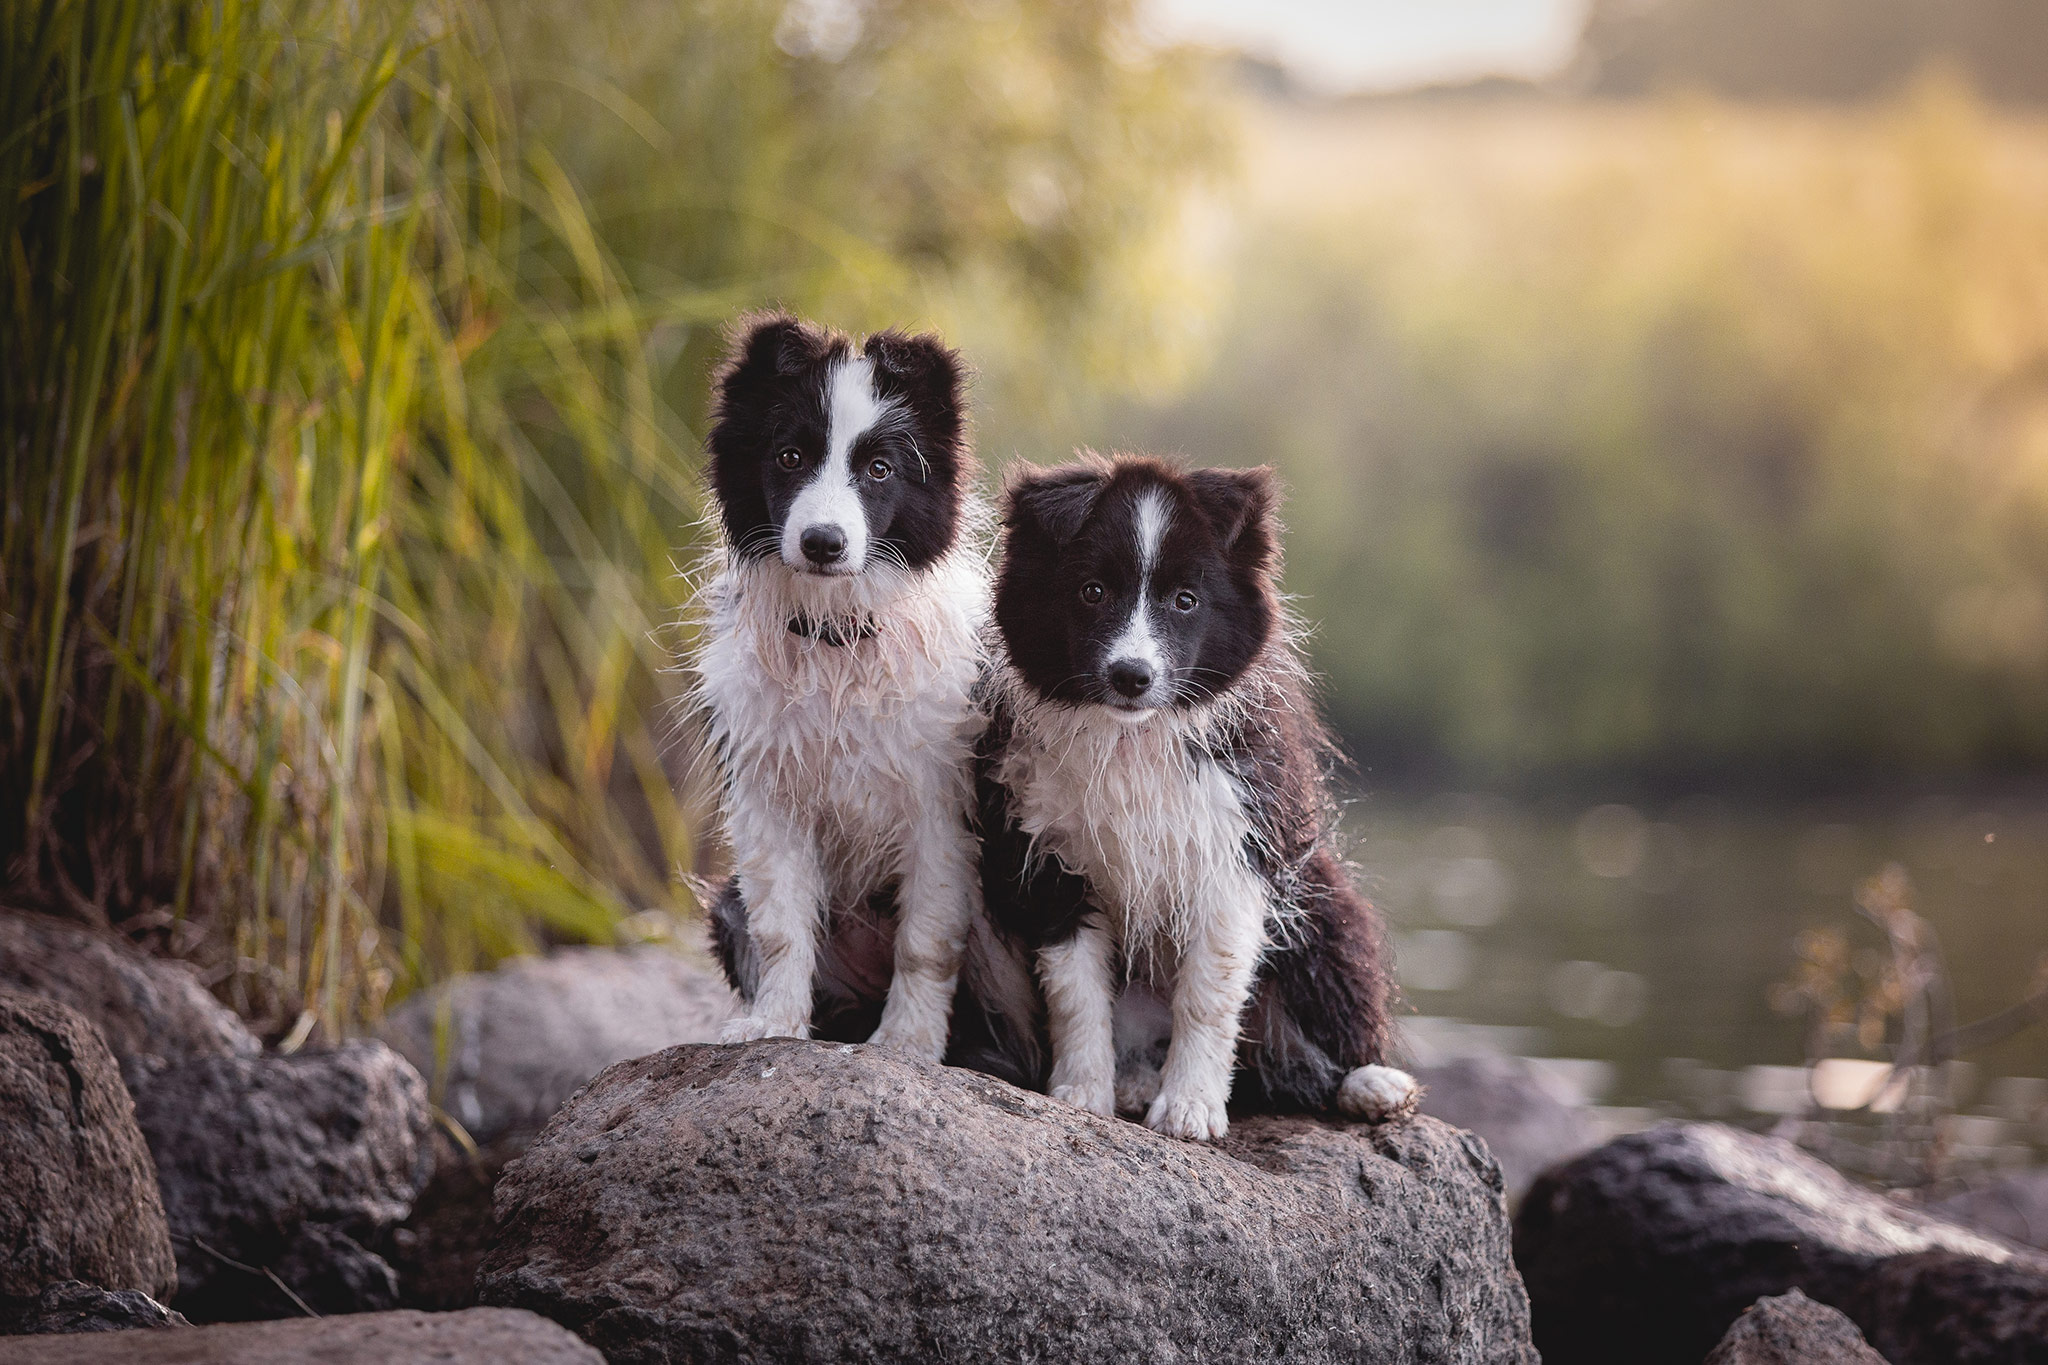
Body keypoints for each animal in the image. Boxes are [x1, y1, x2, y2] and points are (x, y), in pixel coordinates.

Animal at [688, 315, 983, 1064]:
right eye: (790, 456)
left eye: (880, 469)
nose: (823, 543)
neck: (837, 637)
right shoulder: (766, 793)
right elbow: (781, 927)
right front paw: (772, 1024)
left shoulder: (941, 807)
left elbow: (927, 938)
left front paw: (907, 1042)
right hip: (725, 901)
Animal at [974, 456, 1425, 1146]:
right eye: (1091, 592)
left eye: (1186, 601)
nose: (1131, 676)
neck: (1133, 738)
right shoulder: (1046, 857)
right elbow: (1076, 991)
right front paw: (1081, 1095)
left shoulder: (1239, 849)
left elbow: (1208, 994)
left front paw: (1189, 1108)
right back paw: (1133, 1081)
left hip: (1323, 899)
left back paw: (1371, 1084)